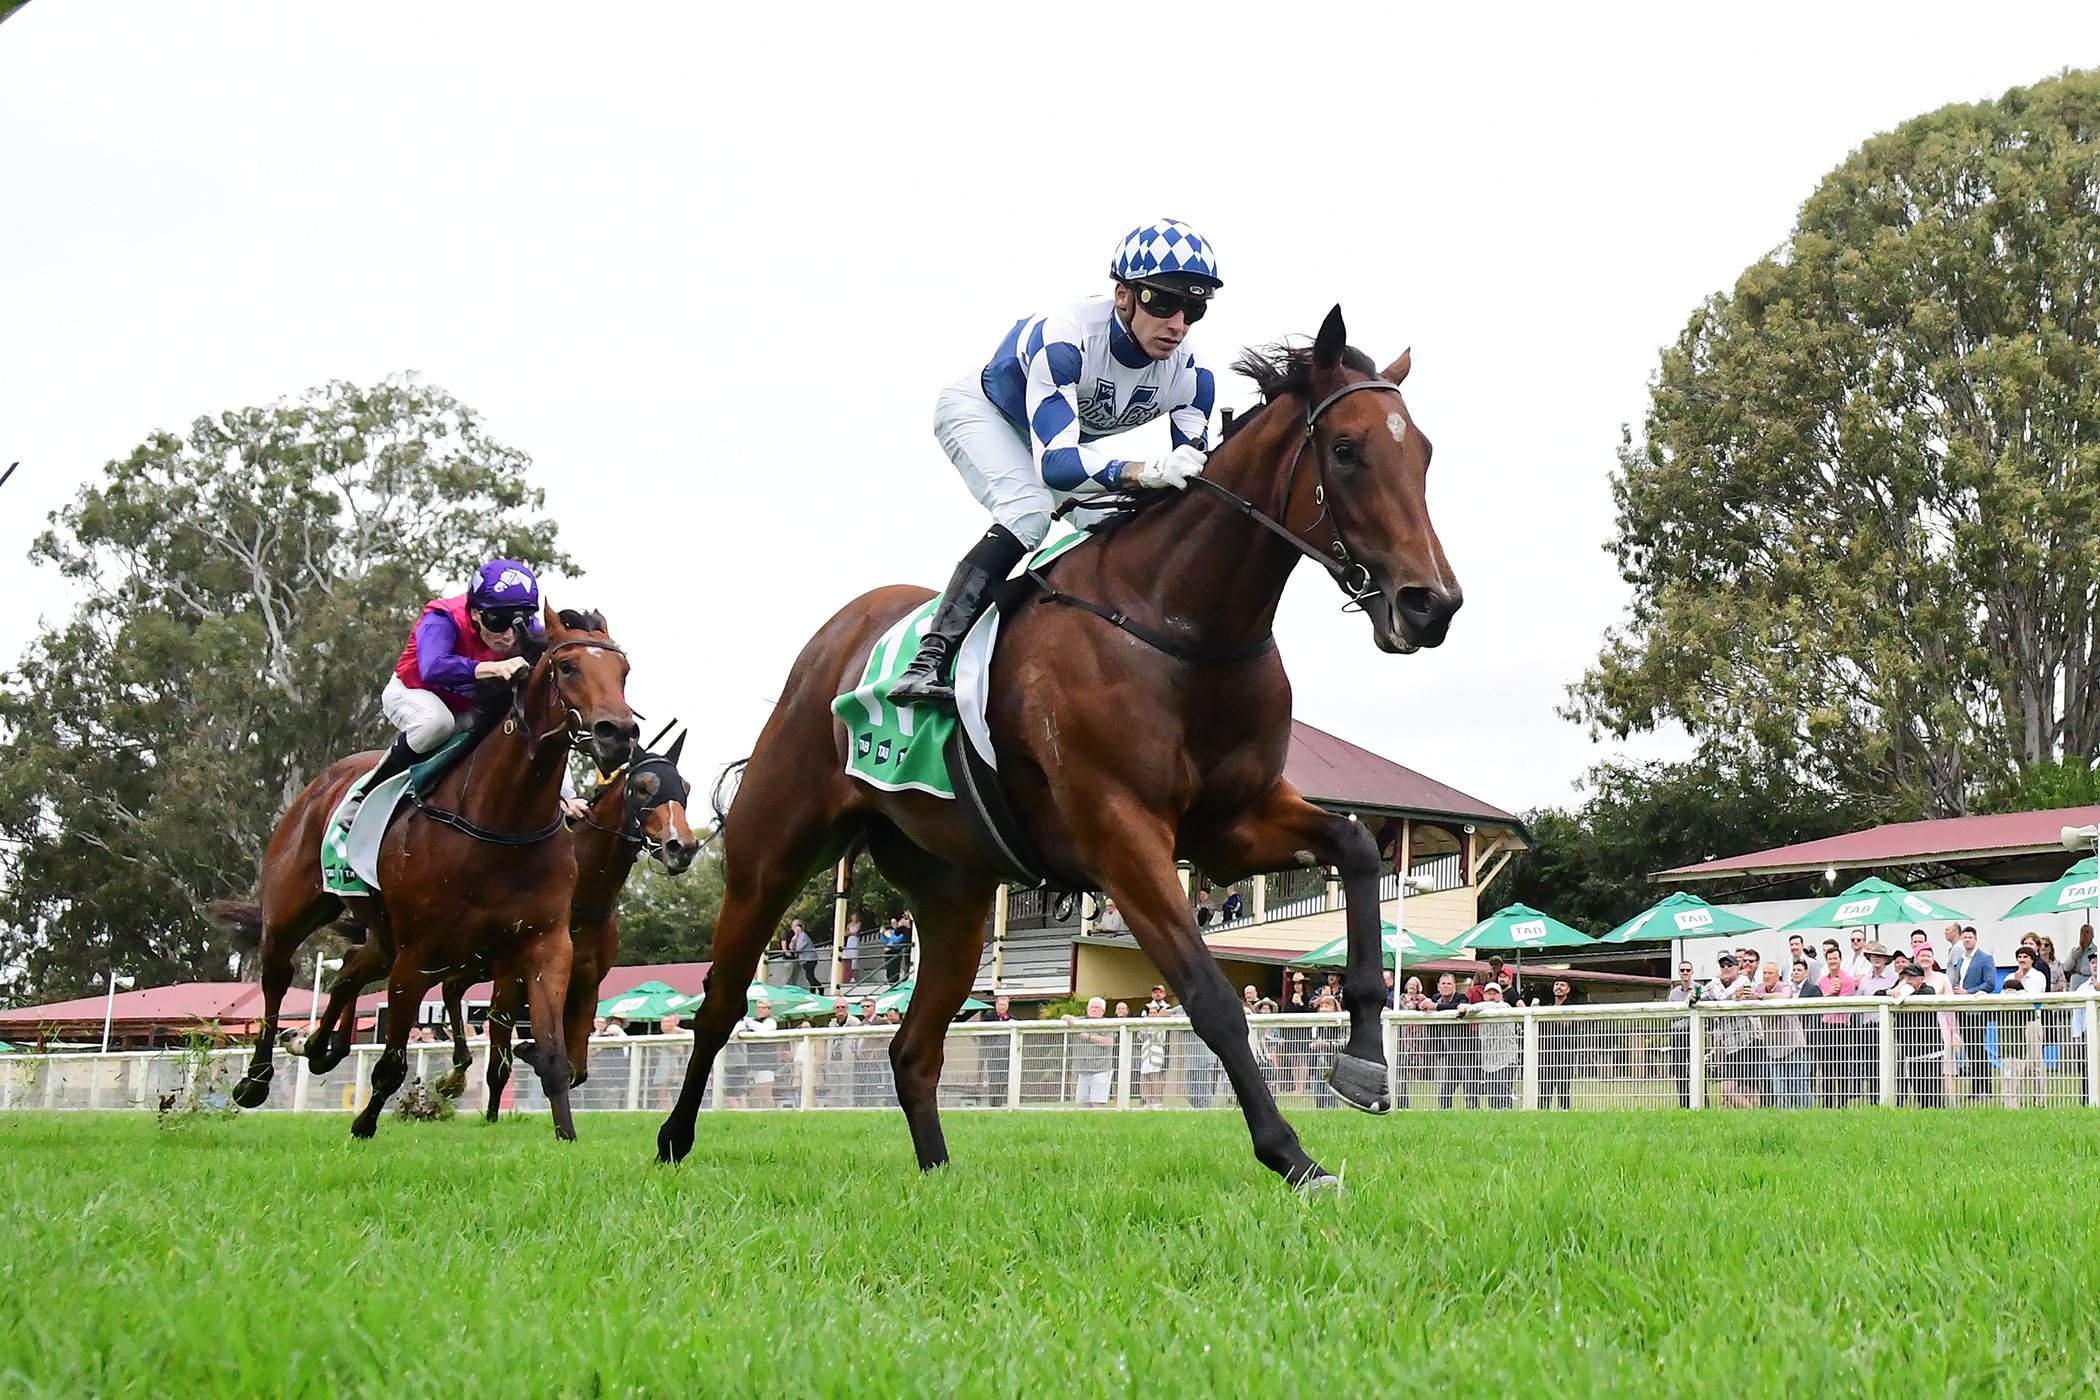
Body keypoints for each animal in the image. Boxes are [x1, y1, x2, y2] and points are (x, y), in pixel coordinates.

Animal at [219, 604, 638, 1141]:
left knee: (350, 966)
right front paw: (364, 1124)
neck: (501, 821)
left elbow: (552, 1055)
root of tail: (320, 784)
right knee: (276, 977)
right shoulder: (420, 952)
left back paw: (316, 1047)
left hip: (383, 933)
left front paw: (565, 1135)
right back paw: (255, 1080)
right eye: (567, 667)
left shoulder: (544, 945)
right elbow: (391, 1063)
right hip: (293, 911)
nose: (617, 733)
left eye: (624, 672)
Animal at [430, 734, 701, 1116]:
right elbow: (499, 1068)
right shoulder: (509, 982)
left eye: (686, 788)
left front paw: (533, 1053)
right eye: (643, 787)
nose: (683, 846)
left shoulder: (587, 986)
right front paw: (492, 1114)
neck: (582, 896)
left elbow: (577, 1070)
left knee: (452, 987)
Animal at [659, 308, 1461, 1192]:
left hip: (955, 899)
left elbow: (1357, 847)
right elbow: (1211, 996)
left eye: (1423, 451)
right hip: (770, 856)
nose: (1431, 605)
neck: (1177, 623)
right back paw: (672, 1141)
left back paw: (939, 1174)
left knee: (911, 1049)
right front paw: (1292, 1156)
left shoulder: (1233, 823)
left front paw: (1362, 1061)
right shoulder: (1120, 836)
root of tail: (833, 640)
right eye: (1347, 449)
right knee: (721, 1002)